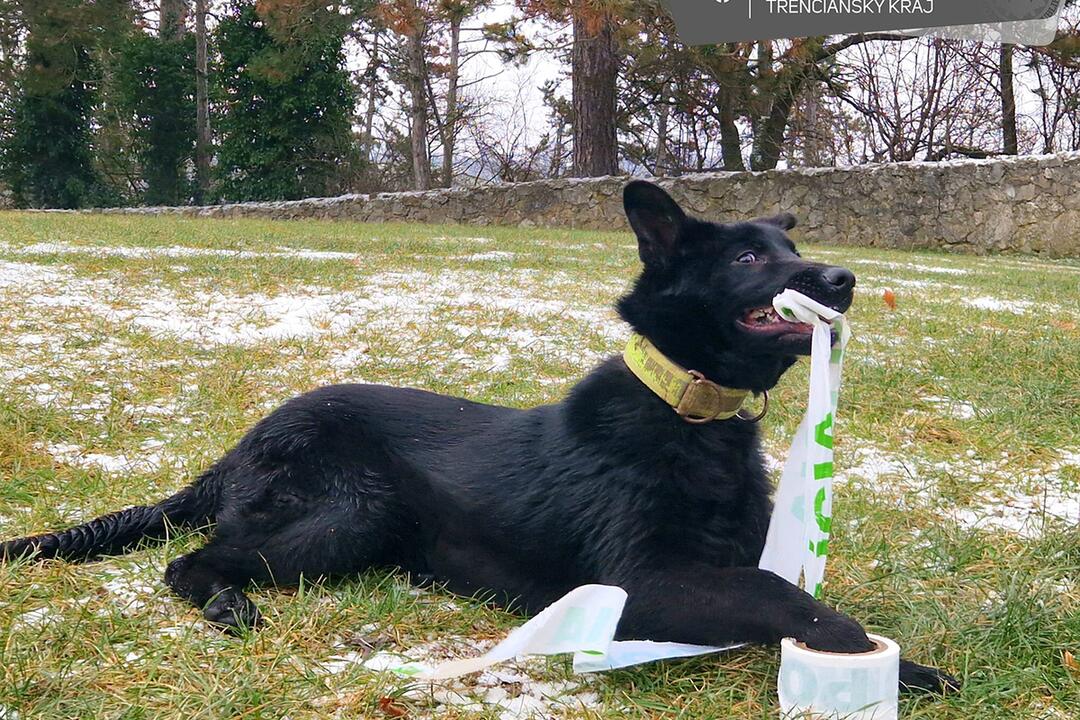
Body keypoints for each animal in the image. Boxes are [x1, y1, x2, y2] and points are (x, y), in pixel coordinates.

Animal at [2, 180, 963, 690]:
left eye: (784, 248)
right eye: (748, 258)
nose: (843, 280)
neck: (687, 417)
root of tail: (244, 442)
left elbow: (786, 594)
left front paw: (910, 672)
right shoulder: (643, 584)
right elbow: (786, 600)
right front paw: (860, 650)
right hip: (351, 511)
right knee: (190, 562)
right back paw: (230, 604)